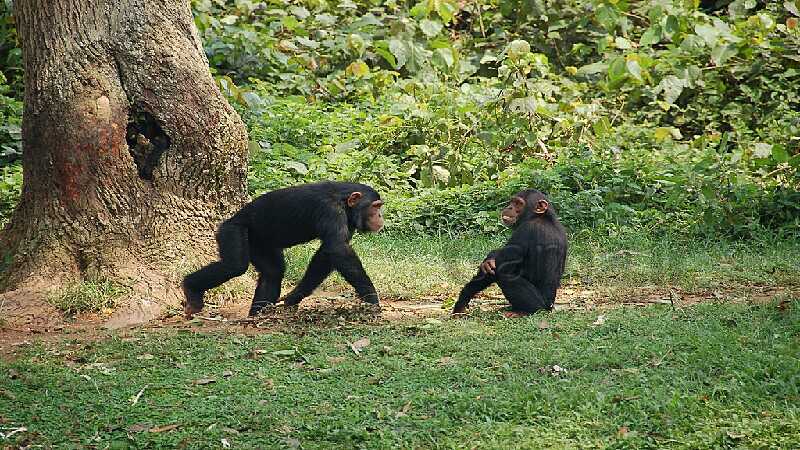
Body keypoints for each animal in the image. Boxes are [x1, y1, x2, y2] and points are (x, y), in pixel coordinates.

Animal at [184, 182, 384, 316]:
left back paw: (258, 315)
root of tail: (228, 221)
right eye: (375, 206)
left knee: (273, 272)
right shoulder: (331, 212)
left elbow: (325, 255)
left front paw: (293, 297)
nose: (381, 216)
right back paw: (191, 289)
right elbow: (338, 250)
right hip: (232, 231)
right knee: (235, 265)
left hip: (259, 243)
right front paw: (372, 300)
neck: (344, 201)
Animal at [450, 188, 568, 318]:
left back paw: (523, 311)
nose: (509, 207)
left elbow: (499, 266)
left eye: (518, 203)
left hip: (540, 305)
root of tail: (551, 306)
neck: (541, 216)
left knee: (504, 274)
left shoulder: (525, 231)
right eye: (512, 202)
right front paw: (489, 259)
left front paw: (461, 303)